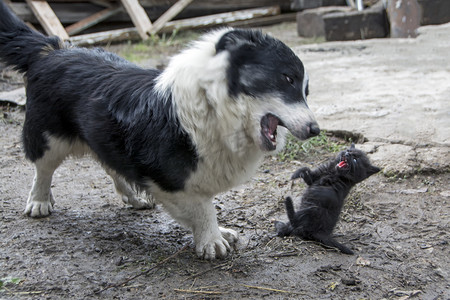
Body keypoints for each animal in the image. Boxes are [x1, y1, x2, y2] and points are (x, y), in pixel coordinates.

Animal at [1, 0, 322, 258]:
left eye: (307, 90)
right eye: (287, 79)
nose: (315, 130)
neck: (215, 103)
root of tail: (52, 49)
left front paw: (217, 231)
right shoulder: (171, 178)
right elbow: (203, 206)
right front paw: (212, 238)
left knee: (111, 165)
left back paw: (132, 197)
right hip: (48, 137)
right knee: (43, 169)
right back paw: (39, 201)